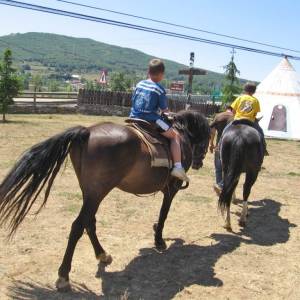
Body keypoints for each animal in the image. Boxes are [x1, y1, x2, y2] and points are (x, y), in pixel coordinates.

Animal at [0, 110, 210, 290]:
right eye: (208, 139)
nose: (199, 163)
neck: (182, 136)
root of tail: (86, 132)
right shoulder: (171, 188)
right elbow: (164, 214)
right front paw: (159, 240)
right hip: (97, 192)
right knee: (78, 226)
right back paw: (64, 276)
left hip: (91, 192)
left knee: (89, 222)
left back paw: (102, 255)